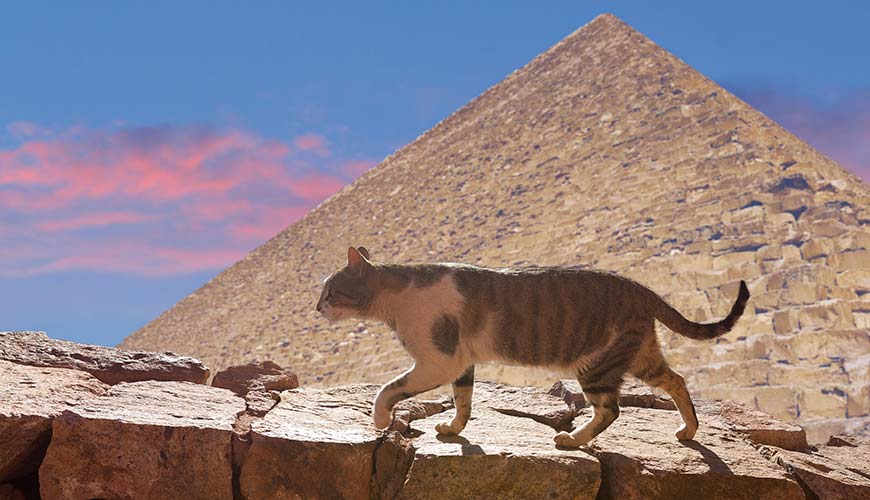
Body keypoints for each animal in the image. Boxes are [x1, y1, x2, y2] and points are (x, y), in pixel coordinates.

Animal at [316, 246, 752, 446]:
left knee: (611, 409)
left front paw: (379, 421)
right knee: (676, 380)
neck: (396, 298)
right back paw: (688, 430)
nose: (316, 307)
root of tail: (641, 289)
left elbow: (387, 391)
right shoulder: (461, 363)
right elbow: (463, 401)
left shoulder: (437, 361)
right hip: (640, 355)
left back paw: (573, 441)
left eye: (330, 290)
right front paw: (454, 429)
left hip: (595, 365)